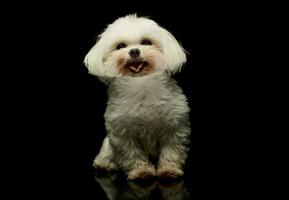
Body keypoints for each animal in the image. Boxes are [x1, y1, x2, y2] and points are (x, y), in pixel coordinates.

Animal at [84, 14, 190, 180]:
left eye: (146, 42)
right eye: (120, 46)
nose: (134, 51)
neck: (141, 85)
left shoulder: (175, 127)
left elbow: (172, 151)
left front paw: (169, 169)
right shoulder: (122, 133)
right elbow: (131, 154)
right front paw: (142, 171)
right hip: (108, 144)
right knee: (107, 153)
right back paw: (104, 164)